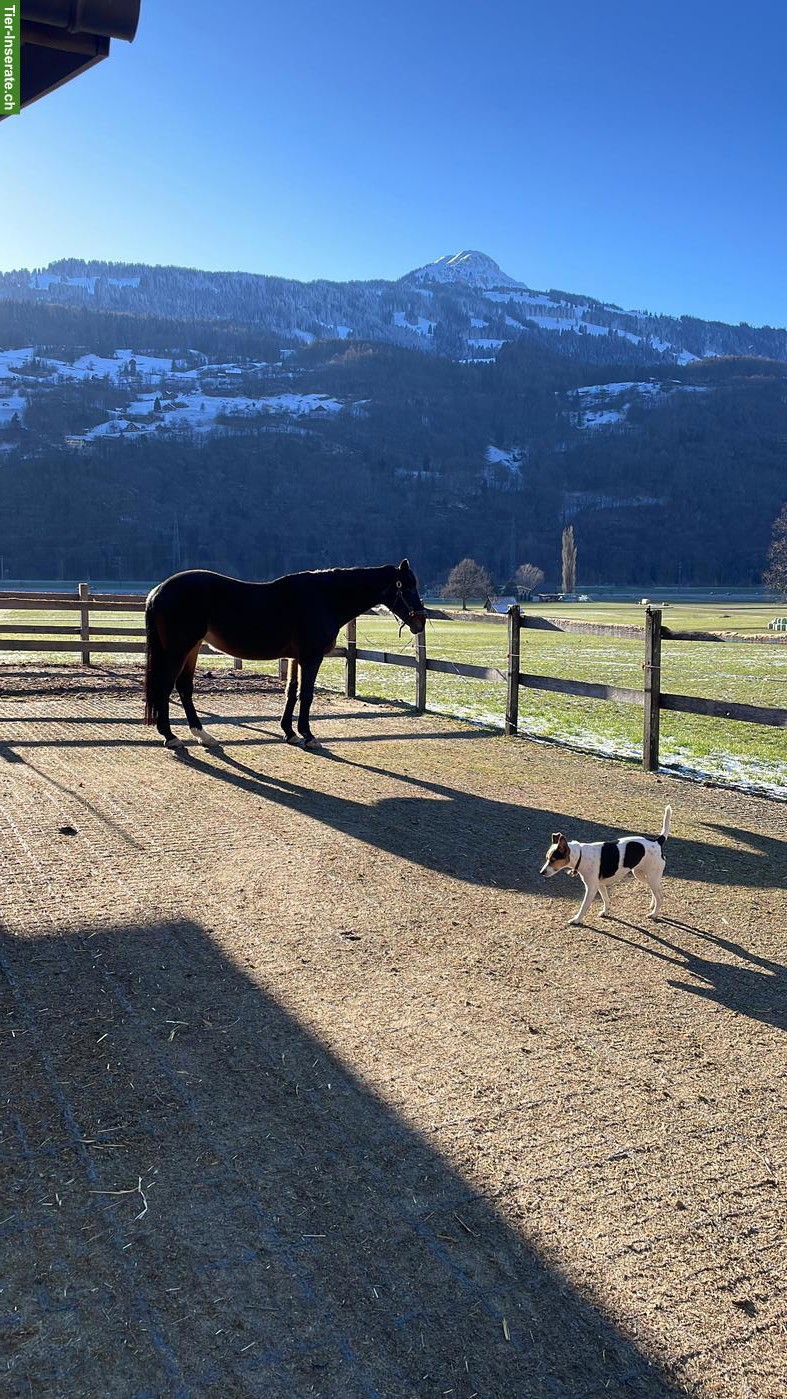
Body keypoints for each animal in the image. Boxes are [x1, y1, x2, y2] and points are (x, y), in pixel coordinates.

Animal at [143, 559, 426, 750]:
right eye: (406, 586)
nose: (420, 621)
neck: (324, 598)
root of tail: (157, 591)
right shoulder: (312, 657)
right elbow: (307, 694)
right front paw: (308, 735)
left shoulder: (295, 658)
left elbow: (291, 691)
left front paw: (290, 733)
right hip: (179, 649)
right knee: (165, 687)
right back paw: (170, 736)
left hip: (191, 649)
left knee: (184, 687)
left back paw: (203, 735)